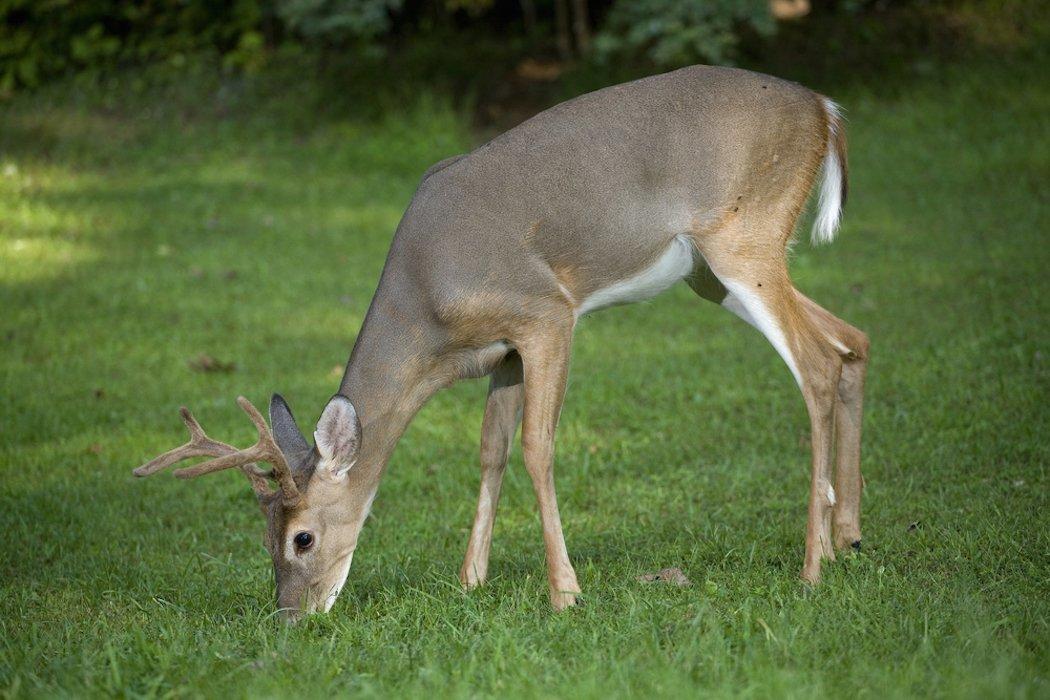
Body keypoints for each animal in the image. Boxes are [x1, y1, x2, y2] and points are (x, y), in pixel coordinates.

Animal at [133, 65, 869, 621]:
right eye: (264, 536)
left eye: (302, 538)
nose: (290, 615)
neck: (428, 306)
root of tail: (825, 108)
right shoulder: (502, 352)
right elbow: (490, 450)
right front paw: (471, 579)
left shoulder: (546, 313)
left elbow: (538, 448)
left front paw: (565, 593)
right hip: (710, 275)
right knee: (850, 340)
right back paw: (848, 538)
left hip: (742, 235)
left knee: (815, 363)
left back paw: (810, 567)